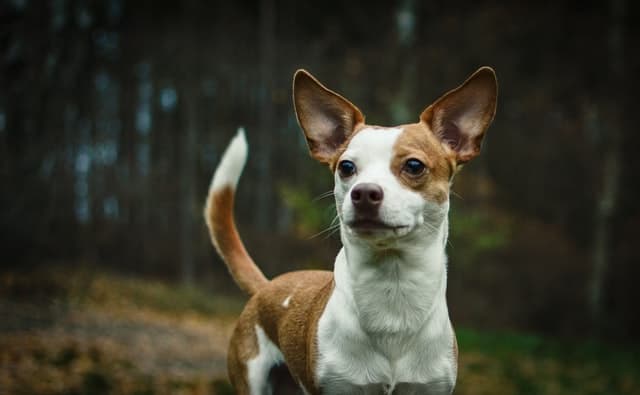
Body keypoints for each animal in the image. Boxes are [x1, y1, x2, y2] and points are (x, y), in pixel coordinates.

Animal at [205, 66, 500, 394]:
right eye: (346, 167)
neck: (393, 289)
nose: (364, 192)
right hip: (252, 378)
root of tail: (266, 287)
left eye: (414, 166)